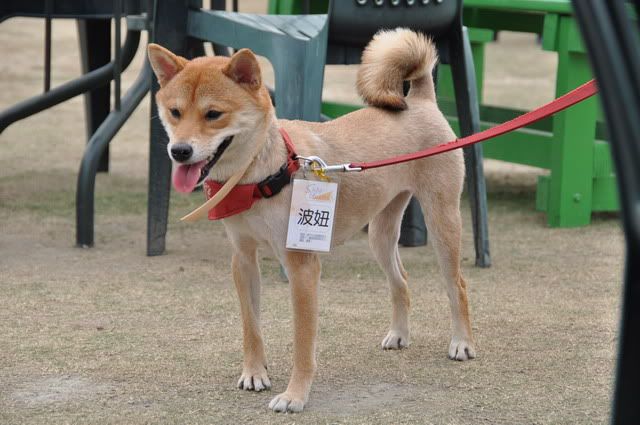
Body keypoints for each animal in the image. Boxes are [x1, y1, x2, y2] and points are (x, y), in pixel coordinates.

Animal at [147, 28, 476, 413]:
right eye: (175, 112)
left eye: (214, 114)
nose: (179, 151)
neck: (263, 172)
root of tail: (421, 100)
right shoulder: (243, 259)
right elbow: (251, 327)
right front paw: (254, 373)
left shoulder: (301, 267)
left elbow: (303, 344)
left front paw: (294, 396)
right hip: (380, 235)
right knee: (401, 280)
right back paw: (398, 334)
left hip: (442, 224)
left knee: (457, 285)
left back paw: (462, 342)